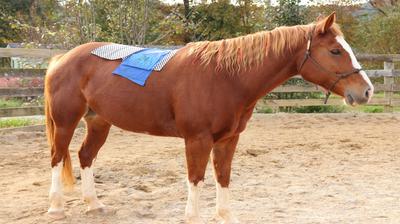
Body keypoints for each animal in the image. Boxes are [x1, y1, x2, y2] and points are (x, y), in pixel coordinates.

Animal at [46, 13, 372, 223]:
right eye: (335, 51)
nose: (366, 91)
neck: (226, 76)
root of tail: (62, 58)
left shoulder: (228, 139)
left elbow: (223, 176)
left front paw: (225, 215)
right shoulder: (197, 140)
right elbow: (196, 178)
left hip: (99, 121)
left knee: (85, 156)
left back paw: (94, 205)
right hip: (65, 122)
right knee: (57, 158)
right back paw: (56, 208)